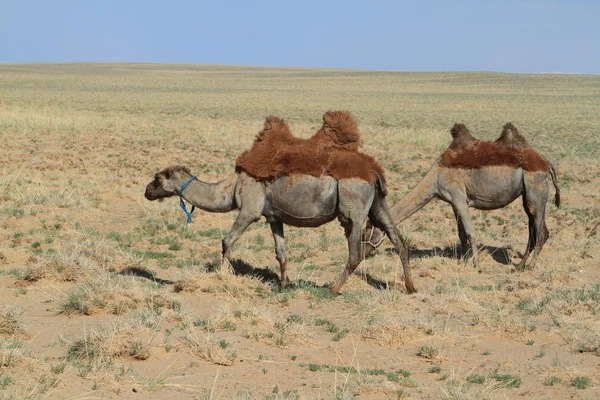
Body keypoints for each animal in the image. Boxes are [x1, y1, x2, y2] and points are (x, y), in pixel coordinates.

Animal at [146, 112, 418, 294]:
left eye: (158, 178)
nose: (147, 190)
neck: (231, 186)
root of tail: (374, 172)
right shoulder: (273, 216)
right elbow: (281, 252)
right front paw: (284, 285)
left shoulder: (250, 209)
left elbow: (227, 240)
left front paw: (222, 275)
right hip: (379, 204)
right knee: (399, 241)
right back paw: (411, 287)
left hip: (354, 207)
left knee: (355, 252)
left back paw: (333, 288)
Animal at [366, 123, 564, 270]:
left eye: (367, 231)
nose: (365, 252)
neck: (435, 178)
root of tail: (547, 164)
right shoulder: (453, 202)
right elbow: (461, 233)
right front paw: (463, 260)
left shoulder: (459, 198)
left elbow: (470, 232)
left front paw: (475, 264)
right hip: (527, 195)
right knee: (535, 232)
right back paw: (520, 266)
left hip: (535, 191)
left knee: (540, 232)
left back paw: (529, 267)